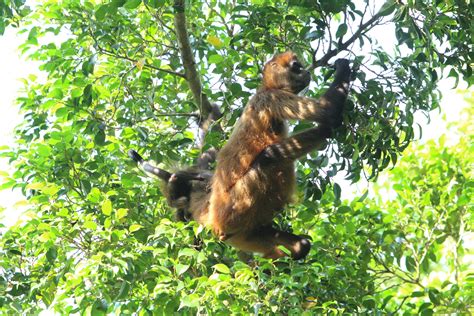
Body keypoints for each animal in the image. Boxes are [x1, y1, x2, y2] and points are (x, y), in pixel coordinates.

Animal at [207, 51, 352, 260]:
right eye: (296, 67)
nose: (307, 72)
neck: (264, 89)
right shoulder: (271, 97)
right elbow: (328, 113)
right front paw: (343, 66)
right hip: (234, 208)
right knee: (269, 156)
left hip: (242, 234)